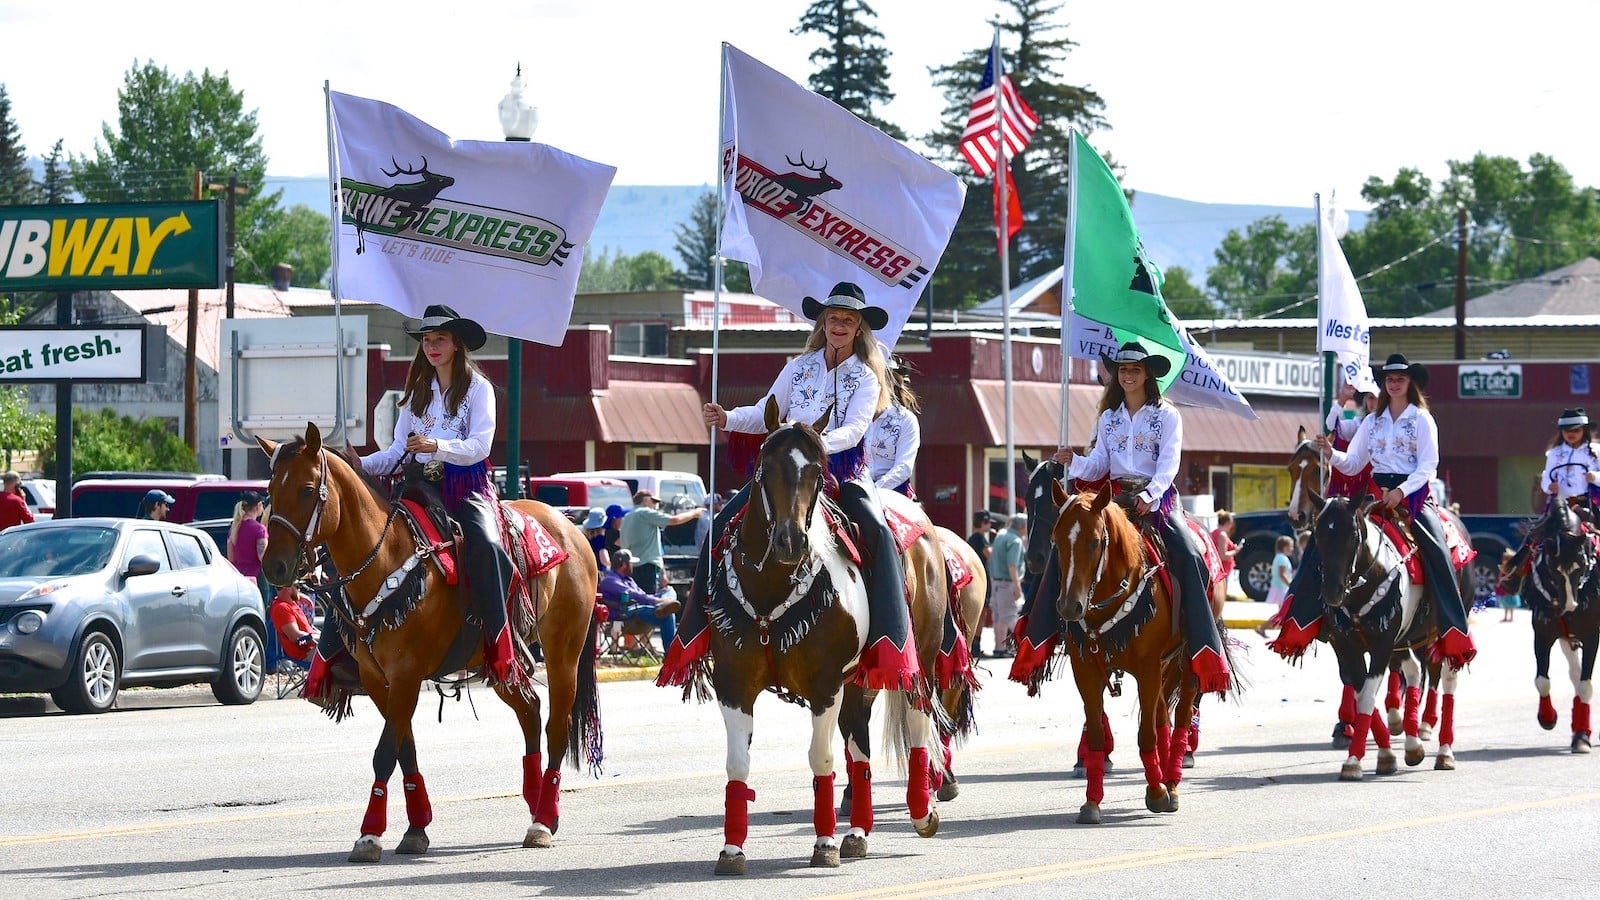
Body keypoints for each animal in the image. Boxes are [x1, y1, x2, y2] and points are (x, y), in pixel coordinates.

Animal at [259, 422, 601, 858]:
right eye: (270, 490)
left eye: (306, 490)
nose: (274, 567)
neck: (387, 556)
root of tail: (572, 528)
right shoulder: (378, 679)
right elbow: (404, 747)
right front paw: (416, 827)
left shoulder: (406, 674)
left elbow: (385, 752)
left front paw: (369, 833)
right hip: (499, 660)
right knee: (529, 710)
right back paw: (535, 799)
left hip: (563, 653)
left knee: (556, 725)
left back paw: (542, 820)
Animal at [700, 397, 947, 871]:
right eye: (765, 466)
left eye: (817, 472)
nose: (791, 541)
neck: (770, 588)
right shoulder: (733, 684)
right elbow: (737, 764)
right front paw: (732, 849)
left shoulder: (825, 684)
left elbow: (821, 758)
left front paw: (824, 843)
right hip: (859, 680)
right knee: (860, 748)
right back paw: (858, 831)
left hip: (917, 658)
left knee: (916, 718)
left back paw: (921, 812)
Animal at [1049, 480, 1203, 826]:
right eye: (1056, 540)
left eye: (1095, 542)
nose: (1069, 607)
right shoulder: (1086, 670)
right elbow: (1096, 735)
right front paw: (1092, 802)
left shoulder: (1147, 668)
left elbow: (1146, 735)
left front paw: (1157, 794)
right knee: (1162, 716)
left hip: (1185, 661)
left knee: (1180, 716)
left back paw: (1171, 784)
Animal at [1299, 483, 1472, 778]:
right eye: (1318, 532)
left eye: (1352, 534)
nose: (1332, 593)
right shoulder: (1345, 646)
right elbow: (1361, 694)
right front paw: (1383, 754)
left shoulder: (1382, 643)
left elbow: (1368, 696)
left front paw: (1355, 759)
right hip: (1406, 640)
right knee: (1414, 670)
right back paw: (1413, 743)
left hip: (1445, 630)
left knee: (1446, 678)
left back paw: (1444, 751)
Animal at [1510, 490, 1600, 749]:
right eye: (1552, 568)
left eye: (1581, 565)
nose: (1570, 606)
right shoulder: (1544, 633)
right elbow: (1543, 680)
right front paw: (1547, 717)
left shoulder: (1592, 635)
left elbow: (1586, 685)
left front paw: (1582, 737)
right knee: (1573, 673)